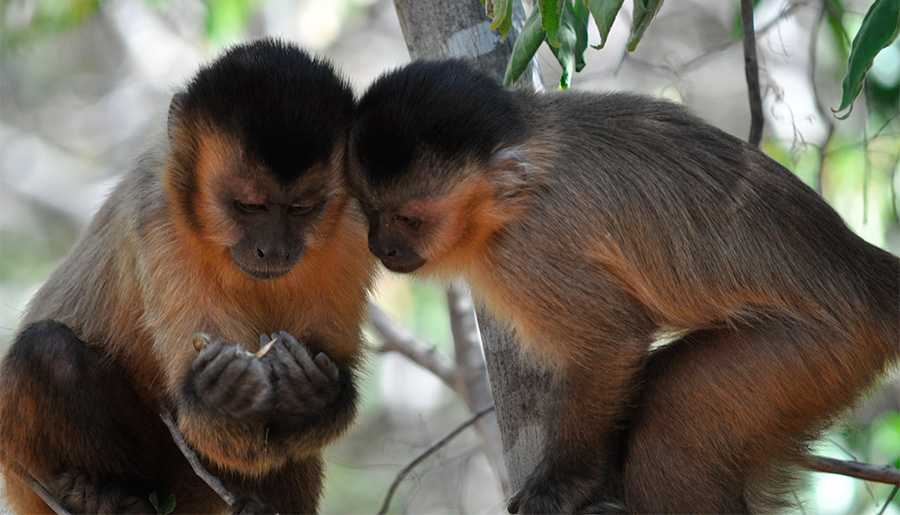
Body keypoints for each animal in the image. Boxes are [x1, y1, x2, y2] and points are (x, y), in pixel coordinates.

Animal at [0, 40, 372, 515]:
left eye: (301, 209)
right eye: (249, 206)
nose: (274, 250)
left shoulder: (355, 227)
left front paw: (310, 396)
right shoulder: (159, 219)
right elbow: (208, 425)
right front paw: (221, 397)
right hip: (28, 472)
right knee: (47, 350)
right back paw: (102, 493)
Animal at [346, 59, 900, 512]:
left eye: (410, 219)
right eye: (370, 211)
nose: (381, 247)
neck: (511, 197)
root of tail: (865, 271)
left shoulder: (530, 250)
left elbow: (612, 339)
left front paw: (564, 484)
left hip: (820, 350)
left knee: (670, 427)